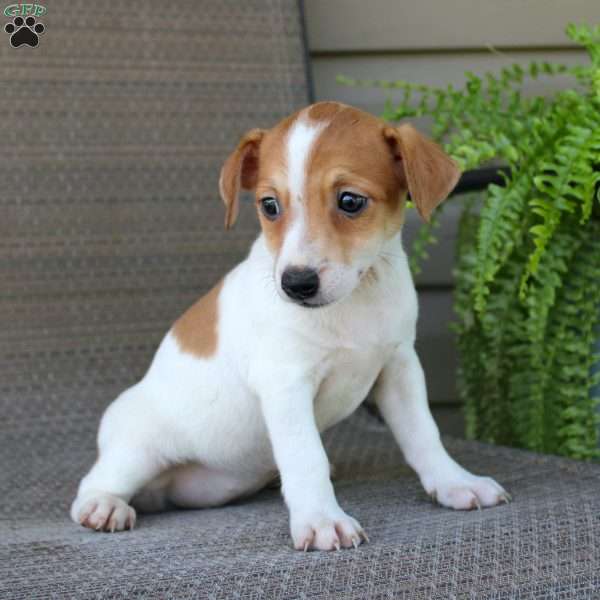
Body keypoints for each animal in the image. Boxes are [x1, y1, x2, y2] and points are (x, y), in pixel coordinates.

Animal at [71, 102, 510, 548]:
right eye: (269, 206)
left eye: (350, 201)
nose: (296, 283)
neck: (355, 301)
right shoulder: (285, 385)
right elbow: (305, 457)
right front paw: (320, 518)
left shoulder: (399, 369)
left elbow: (424, 434)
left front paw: (455, 483)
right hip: (138, 450)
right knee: (94, 484)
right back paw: (104, 506)